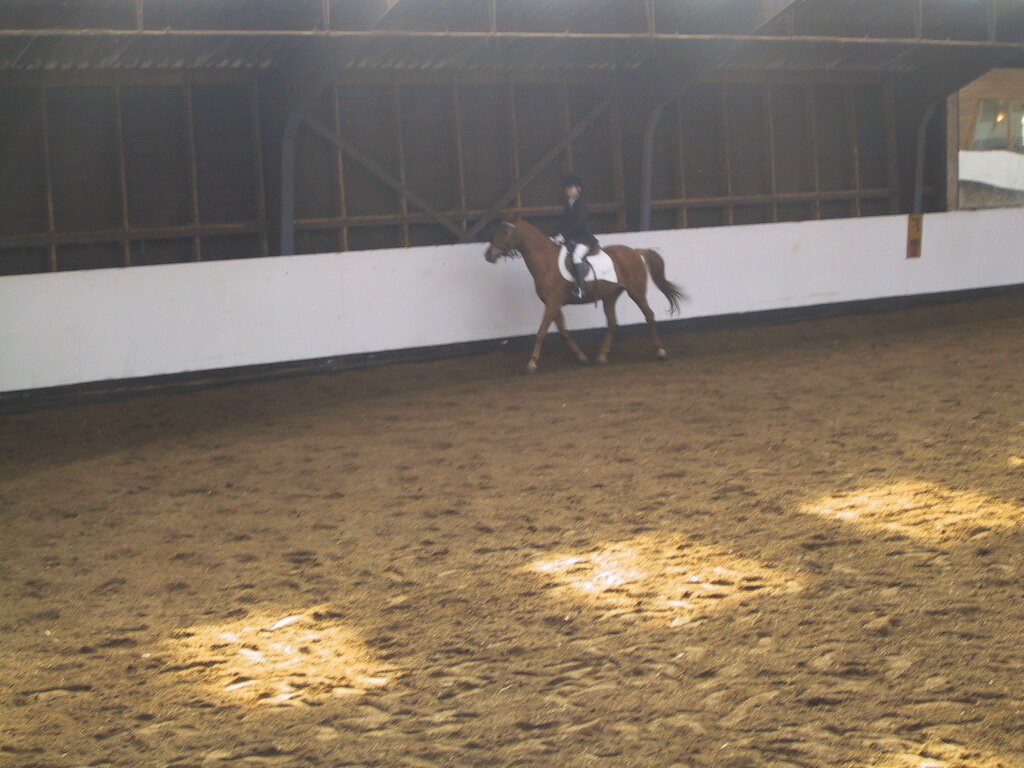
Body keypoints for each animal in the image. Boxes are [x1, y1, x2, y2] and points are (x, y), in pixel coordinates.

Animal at [484, 218, 685, 373]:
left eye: (505, 232)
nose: (488, 255)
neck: (546, 263)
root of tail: (634, 252)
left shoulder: (553, 302)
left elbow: (541, 331)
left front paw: (532, 363)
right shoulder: (553, 303)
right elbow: (563, 332)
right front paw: (581, 357)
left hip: (636, 292)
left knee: (649, 315)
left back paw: (660, 351)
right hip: (610, 297)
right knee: (612, 323)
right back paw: (602, 356)